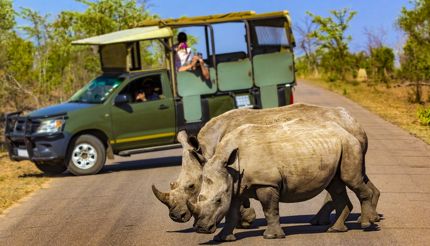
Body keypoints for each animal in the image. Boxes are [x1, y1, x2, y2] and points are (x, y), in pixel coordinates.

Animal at [190, 120, 378, 241]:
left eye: (218, 200)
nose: (200, 229)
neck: (231, 166)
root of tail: (347, 131)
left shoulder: (266, 183)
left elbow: (269, 209)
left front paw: (271, 236)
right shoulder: (236, 187)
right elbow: (231, 213)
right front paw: (222, 238)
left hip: (349, 145)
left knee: (350, 179)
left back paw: (366, 225)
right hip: (337, 146)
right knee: (336, 185)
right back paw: (335, 230)